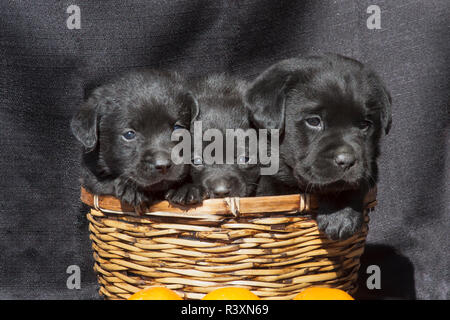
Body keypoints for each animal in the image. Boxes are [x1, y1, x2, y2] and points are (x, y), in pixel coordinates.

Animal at [71, 69, 194, 209]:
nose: (163, 165)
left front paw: (185, 187)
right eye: (129, 134)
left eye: (177, 127)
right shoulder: (90, 177)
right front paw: (131, 189)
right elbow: (104, 183)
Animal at [244, 54, 392, 240]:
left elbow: (347, 184)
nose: (346, 161)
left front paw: (340, 216)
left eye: (364, 124)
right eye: (314, 121)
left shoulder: (369, 166)